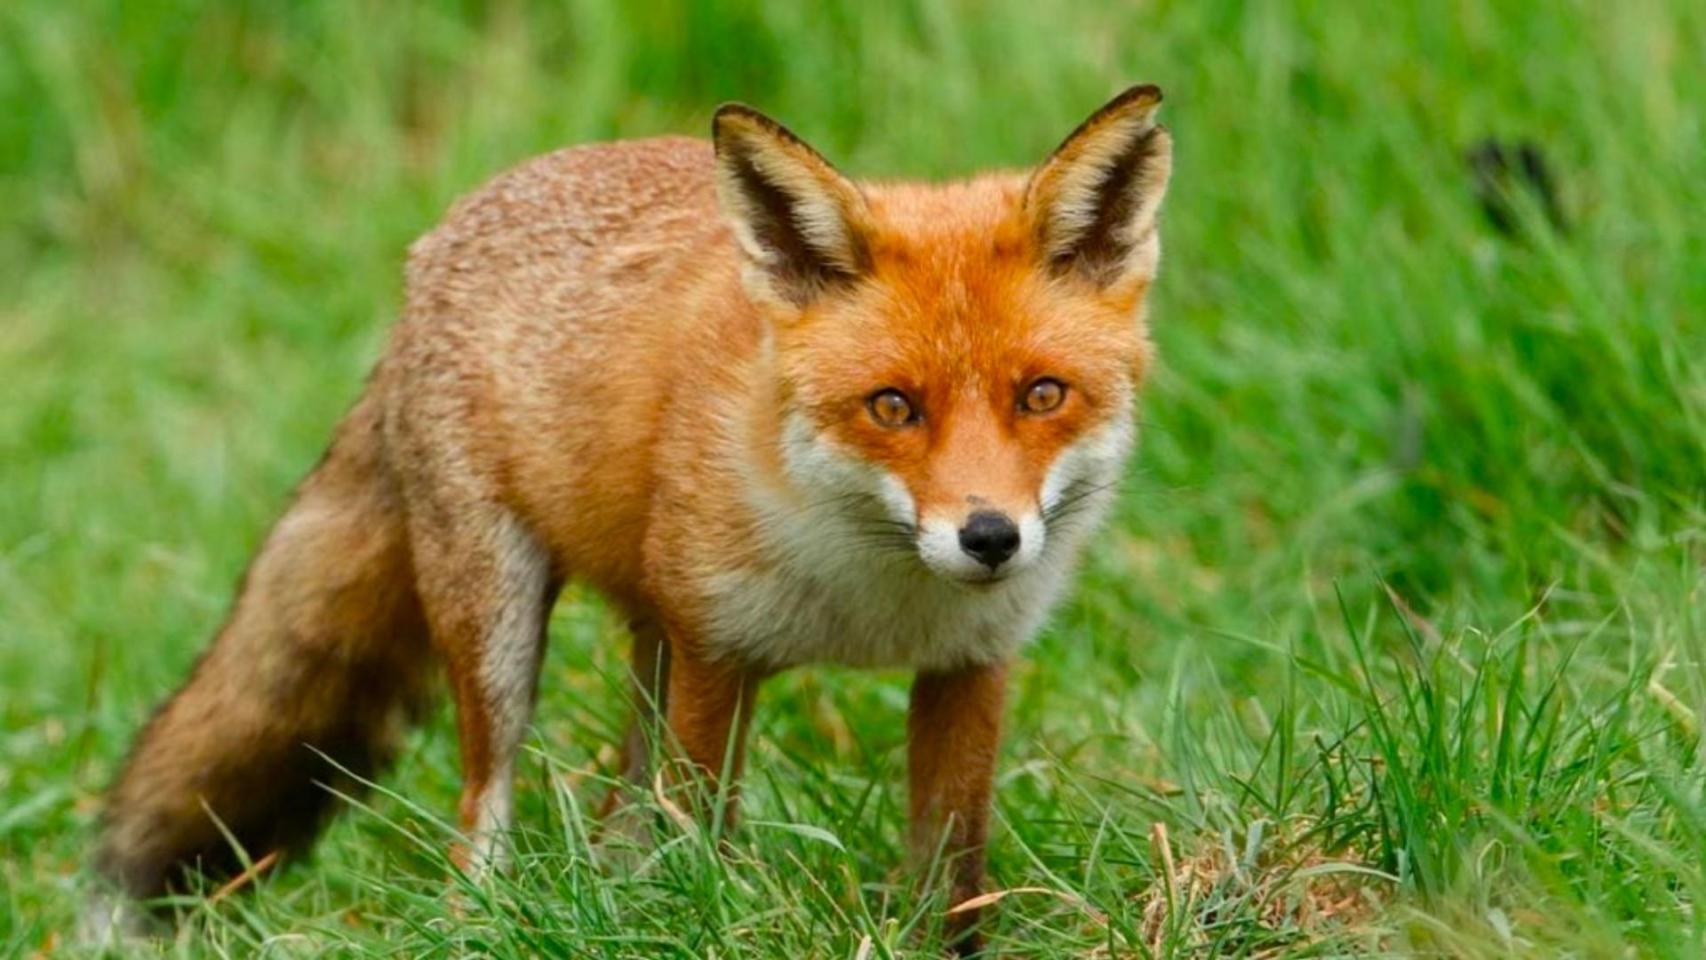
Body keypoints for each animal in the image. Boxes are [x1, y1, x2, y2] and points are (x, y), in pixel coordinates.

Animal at [87, 84, 1173, 952]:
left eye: (1041, 395)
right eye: (893, 406)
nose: (988, 537)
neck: (869, 593)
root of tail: (441, 235)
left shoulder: (967, 665)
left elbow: (952, 874)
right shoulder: (718, 653)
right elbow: (700, 835)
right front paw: (709, 926)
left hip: (649, 641)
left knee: (615, 812)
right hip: (502, 628)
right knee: (485, 810)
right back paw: (485, 921)